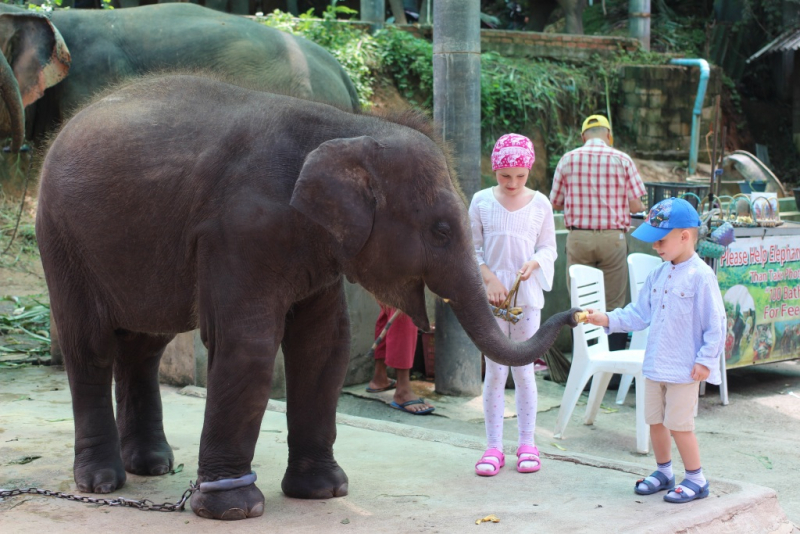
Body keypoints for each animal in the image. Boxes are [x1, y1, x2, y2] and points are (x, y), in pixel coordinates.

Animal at [37, 76, 580, 524]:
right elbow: (248, 345)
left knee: (145, 345)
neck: (350, 128)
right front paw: (233, 509)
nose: (575, 313)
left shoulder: (316, 248)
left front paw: (324, 491)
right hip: (61, 238)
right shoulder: (239, 231)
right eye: (442, 231)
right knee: (90, 346)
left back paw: (152, 465)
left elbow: (324, 346)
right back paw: (102, 481)